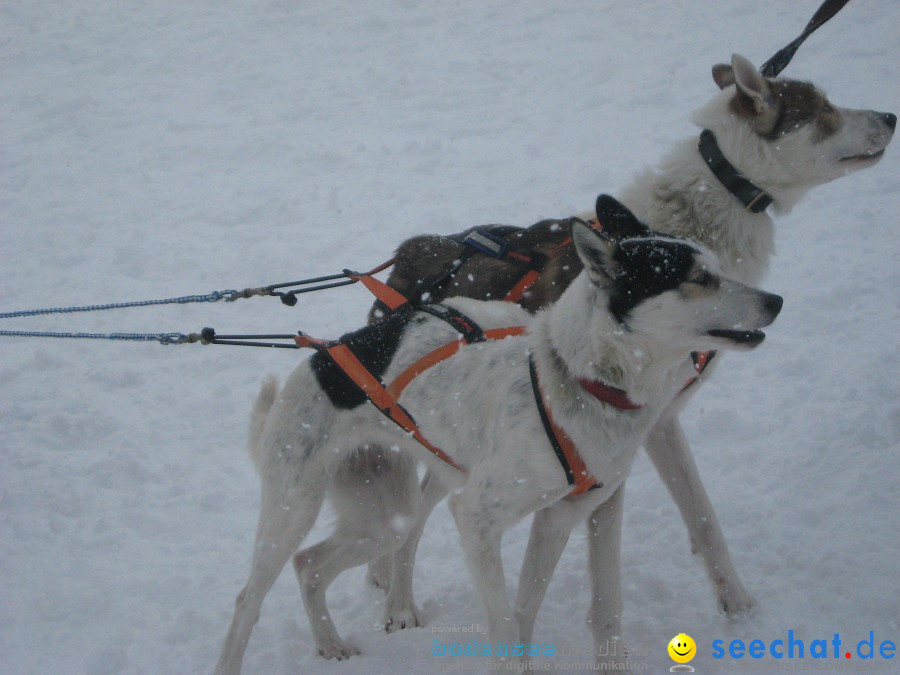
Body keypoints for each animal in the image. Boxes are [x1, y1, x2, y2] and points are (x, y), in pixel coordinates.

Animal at [214, 203, 784, 672]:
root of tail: (321, 356)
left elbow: (562, 609)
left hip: (385, 517)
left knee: (310, 564)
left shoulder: (574, 512)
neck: (571, 379)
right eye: (699, 278)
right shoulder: (476, 519)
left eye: (718, 266)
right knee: (246, 600)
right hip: (294, 509)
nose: (777, 300)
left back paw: (330, 643)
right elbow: (507, 627)